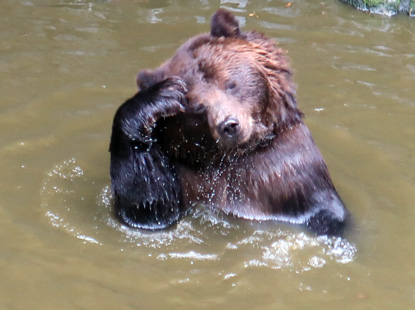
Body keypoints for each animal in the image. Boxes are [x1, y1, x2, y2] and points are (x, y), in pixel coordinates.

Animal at [109, 8, 350, 235]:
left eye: (230, 84)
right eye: (197, 107)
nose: (229, 125)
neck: (232, 157)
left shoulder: (289, 172)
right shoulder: (183, 176)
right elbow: (148, 204)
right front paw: (163, 93)